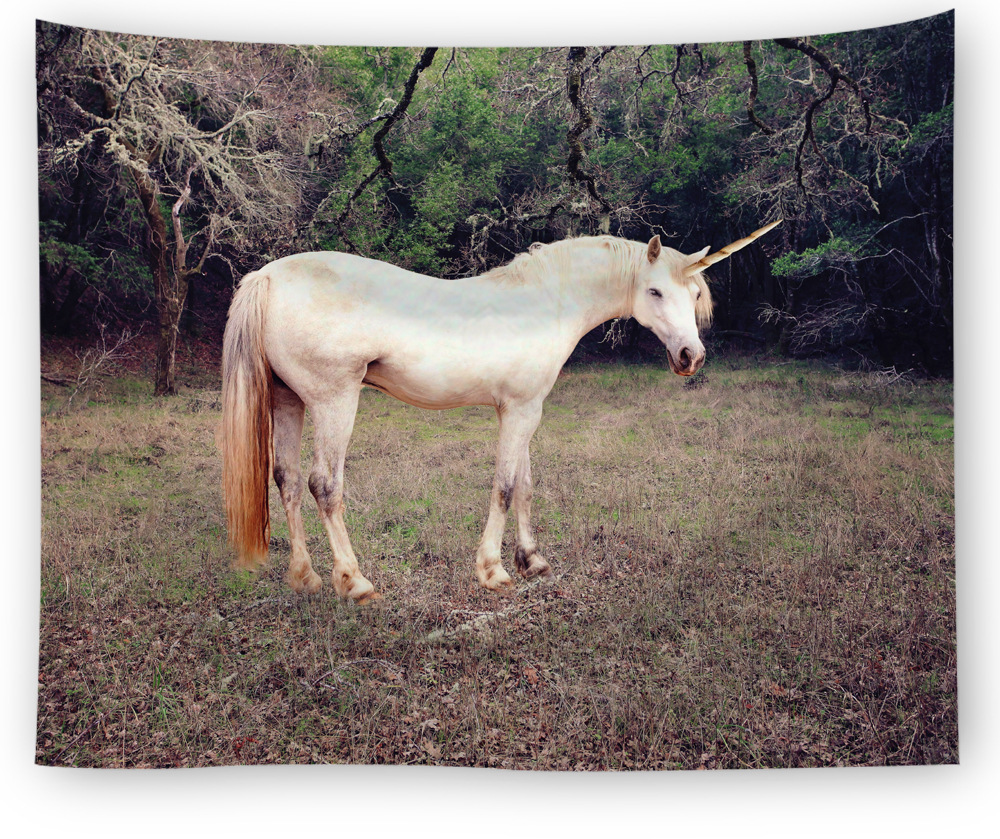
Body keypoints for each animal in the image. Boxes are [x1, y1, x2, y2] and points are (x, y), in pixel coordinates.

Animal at [220, 221, 781, 601]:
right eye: (656, 290)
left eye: (694, 292)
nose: (691, 357)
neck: (542, 303)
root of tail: (268, 276)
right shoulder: (519, 411)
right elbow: (506, 487)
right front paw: (493, 570)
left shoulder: (525, 410)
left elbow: (526, 485)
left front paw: (533, 560)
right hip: (334, 402)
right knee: (324, 486)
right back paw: (354, 581)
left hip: (289, 401)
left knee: (288, 481)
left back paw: (305, 577)